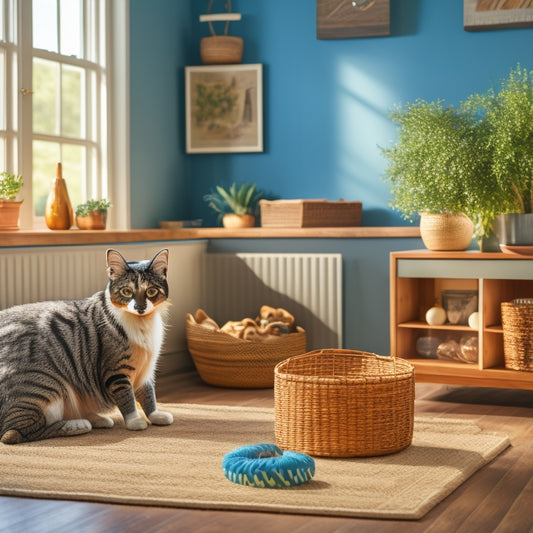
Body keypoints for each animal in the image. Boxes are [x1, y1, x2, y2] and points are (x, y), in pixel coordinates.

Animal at [0, 247, 172, 442]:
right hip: (46, 385)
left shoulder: (147, 371)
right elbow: (127, 398)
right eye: (127, 292)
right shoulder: (116, 373)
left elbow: (148, 395)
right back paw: (79, 424)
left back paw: (98, 419)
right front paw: (135, 421)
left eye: (151, 291)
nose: (140, 307)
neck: (142, 324)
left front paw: (155, 415)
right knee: (15, 432)